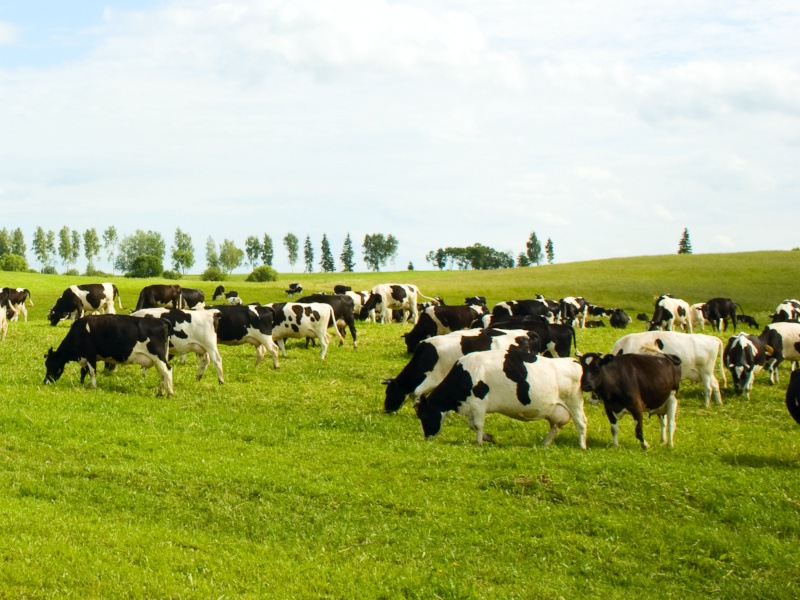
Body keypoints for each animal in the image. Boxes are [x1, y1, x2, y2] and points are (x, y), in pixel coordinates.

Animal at [43, 314, 173, 394]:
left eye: (50, 365)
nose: (45, 382)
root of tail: (161, 321)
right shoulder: (87, 357)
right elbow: (83, 371)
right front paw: (81, 384)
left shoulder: (90, 355)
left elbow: (92, 372)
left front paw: (93, 387)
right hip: (159, 359)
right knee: (161, 373)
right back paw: (161, 393)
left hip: (158, 356)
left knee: (167, 370)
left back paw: (170, 393)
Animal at [418, 346, 588, 450]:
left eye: (423, 415)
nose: (427, 437)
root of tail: (572, 361)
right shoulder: (471, 406)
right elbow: (472, 425)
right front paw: (489, 438)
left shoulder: (479, 403)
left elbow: (477, 425)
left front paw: (479, 442)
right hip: (556, 410)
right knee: (555, 426)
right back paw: (544, 444)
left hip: (574, 402)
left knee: (581, 423)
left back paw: (582, 446)